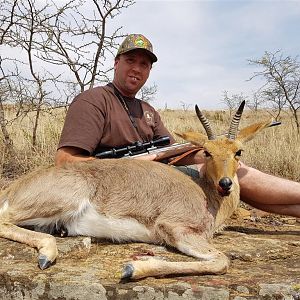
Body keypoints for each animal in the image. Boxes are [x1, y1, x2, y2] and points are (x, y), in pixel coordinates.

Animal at [0, 102, 272, 280]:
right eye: (206, 152)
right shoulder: (174, 228)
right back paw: (47, 255)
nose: (225, 183)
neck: (206, 195)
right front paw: (133, 268)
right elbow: (221, 261)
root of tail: (14, 186)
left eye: (238, 151)